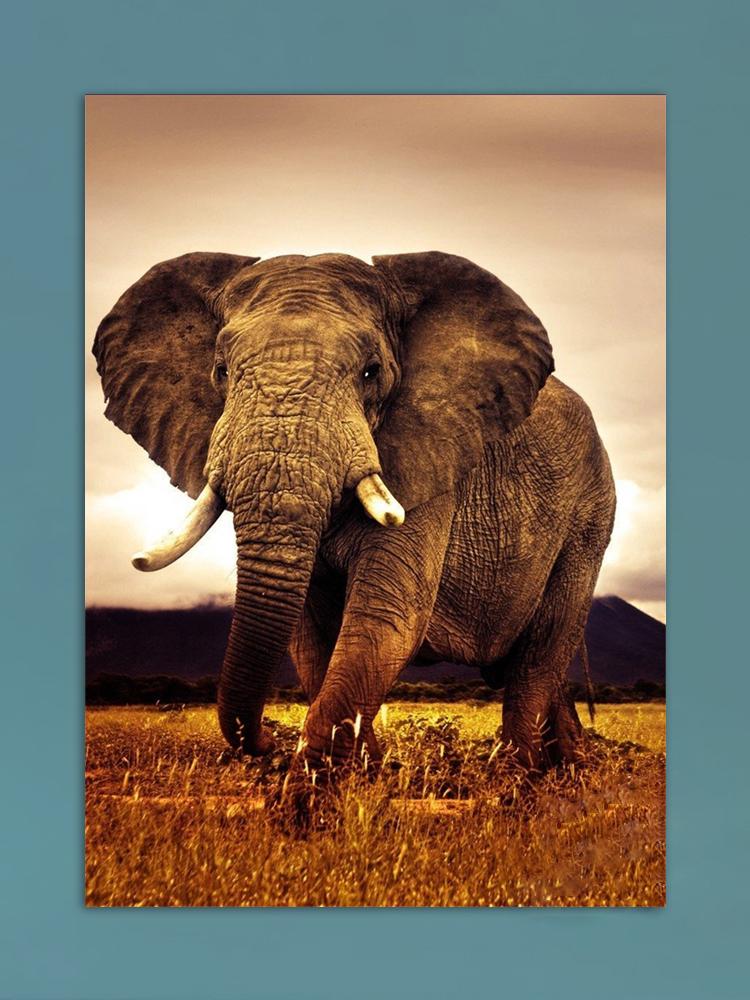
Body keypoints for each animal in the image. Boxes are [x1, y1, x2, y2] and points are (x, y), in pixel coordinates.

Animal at [93, 250, 616, 773]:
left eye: (371, 372)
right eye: (220, 371)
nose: (266, 741)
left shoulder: (429, 461)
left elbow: (385, 616)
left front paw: (319, 777)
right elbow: (311, 636)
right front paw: (367, 771)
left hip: (590, 518)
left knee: (541, 653)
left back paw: (521, 773)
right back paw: (568, 767)